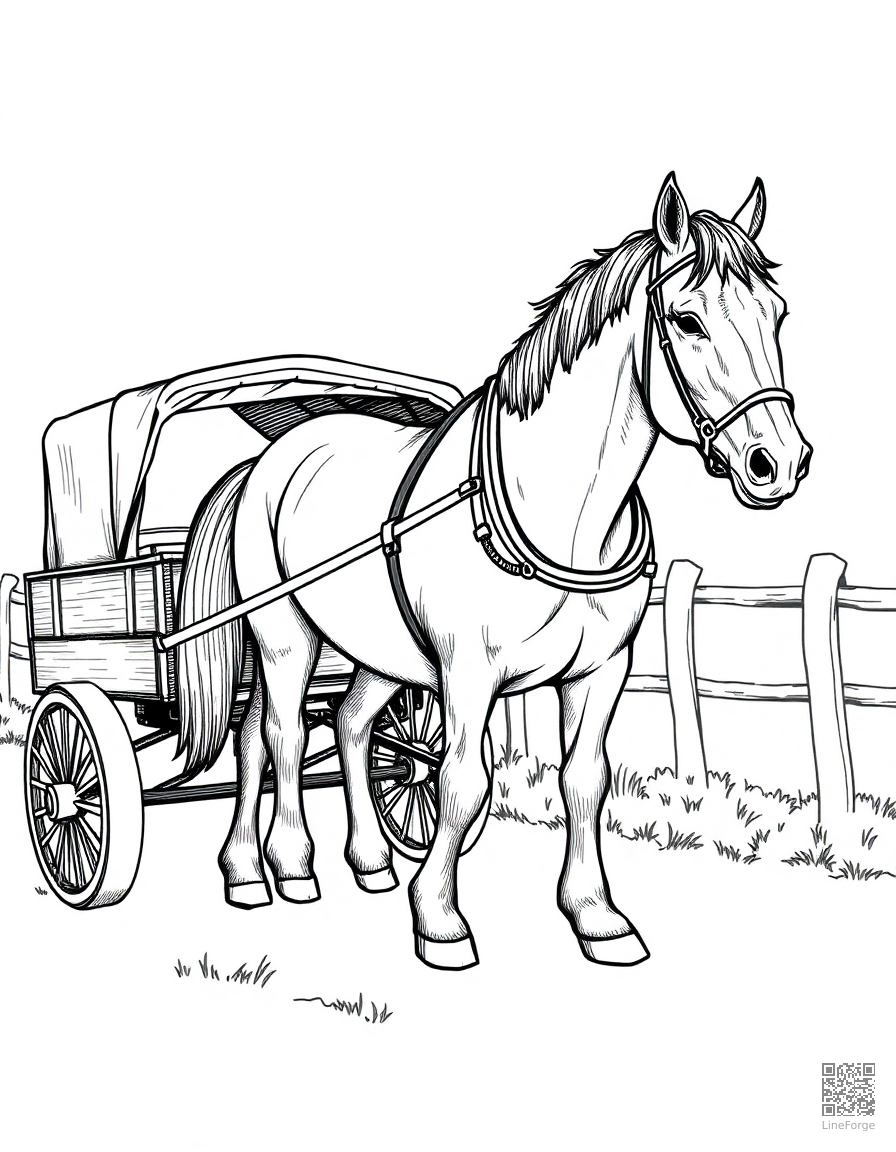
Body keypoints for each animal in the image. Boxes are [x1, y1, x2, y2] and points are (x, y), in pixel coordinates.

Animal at [176, 174, 811, 969]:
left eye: (777, 315)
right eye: (688, 320)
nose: (777, 462)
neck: (561, 517)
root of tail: (268, 457)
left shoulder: (602, 669)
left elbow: (585, 778)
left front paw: (596, 917)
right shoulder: (467, 670)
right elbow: (460, 781)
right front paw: (439, 919)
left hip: (372, 647)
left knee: (338, 725)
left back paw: (353, 862)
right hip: (284, 634)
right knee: (280, 735)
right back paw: (282, 867)